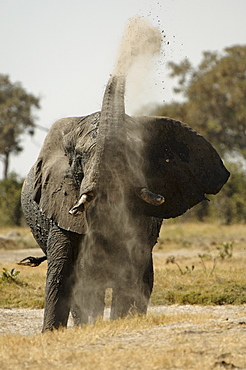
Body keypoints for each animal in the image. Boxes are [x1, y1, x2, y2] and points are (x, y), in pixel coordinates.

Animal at [20, 73, 229, 330]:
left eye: (134, 155)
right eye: (78, 159)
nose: (118, 73)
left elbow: (131, 273)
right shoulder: (59, 204)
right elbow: (62, 274)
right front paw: (51, 333)